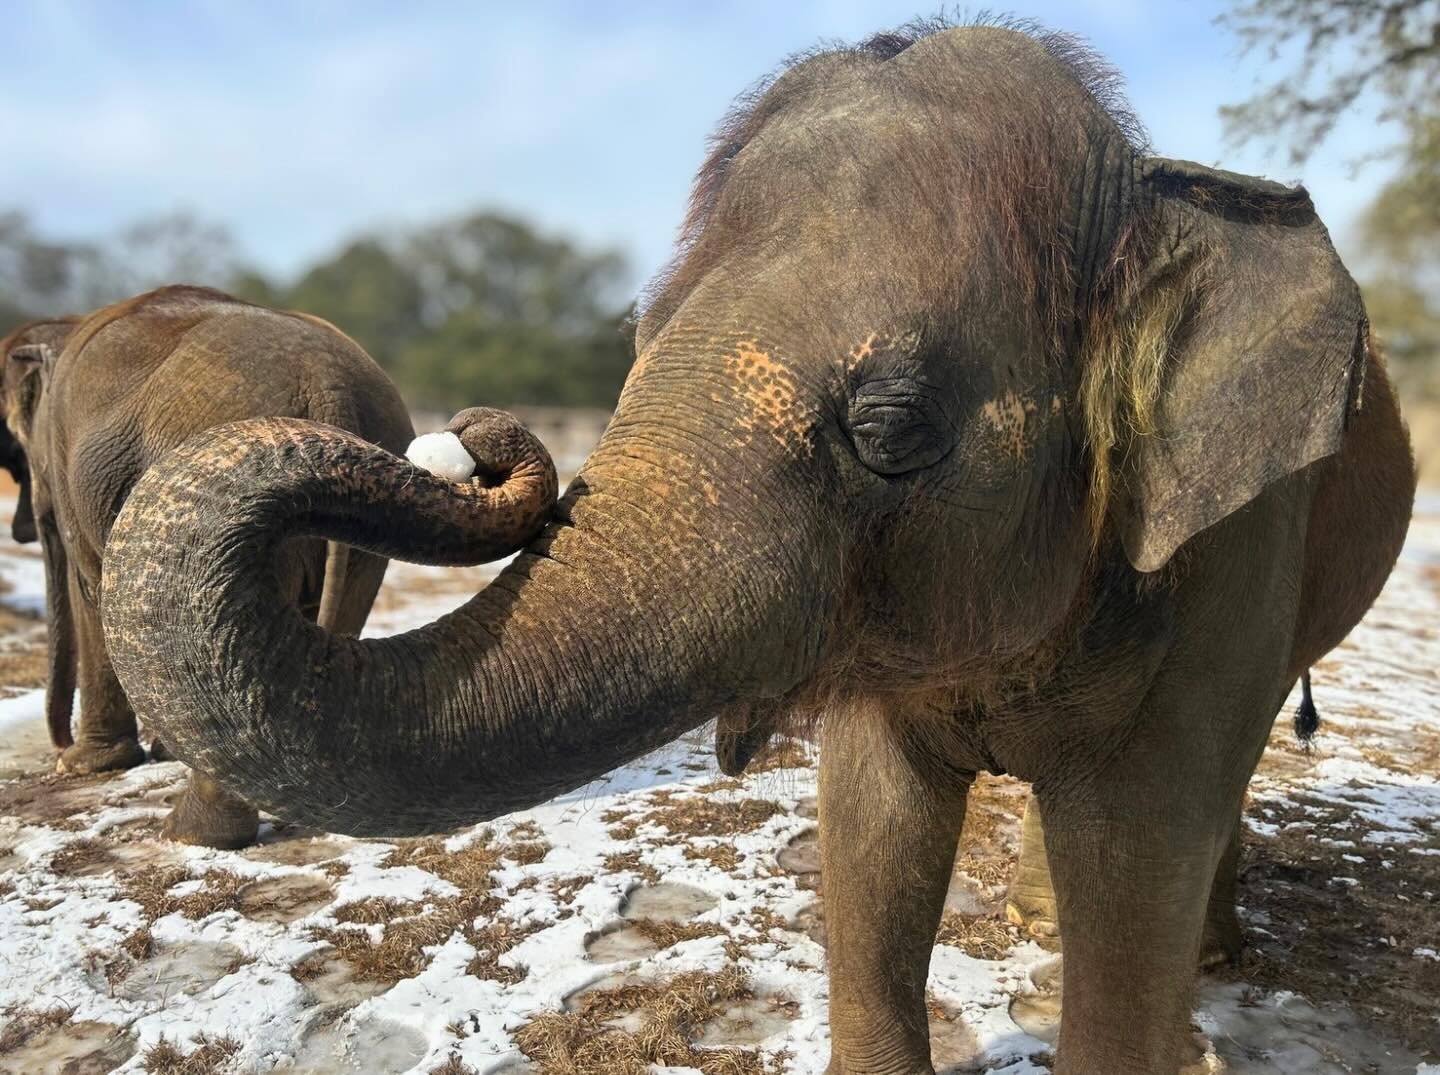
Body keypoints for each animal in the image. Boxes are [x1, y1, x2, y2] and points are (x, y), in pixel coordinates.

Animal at [1, 284, 415, 848]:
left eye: (17, 448)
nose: (59, 750)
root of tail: (328, 384)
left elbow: (91, 587)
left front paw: (89, 766)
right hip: (376, 495)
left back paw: (191, 835)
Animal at [98, 21, 1415, 1075]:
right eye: (637, 343)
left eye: (892, 431)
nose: (472, 436)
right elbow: (874, 822)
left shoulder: (1237, 546)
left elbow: (1139, 850)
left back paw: (1207, 951)